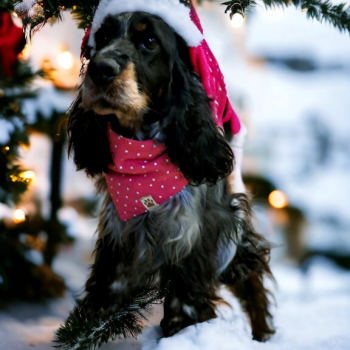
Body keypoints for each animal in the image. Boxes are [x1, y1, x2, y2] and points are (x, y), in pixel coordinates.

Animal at [67, 8, 276, 342]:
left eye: (150, 41)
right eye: (102, 37)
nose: (101, 69)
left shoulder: (198, 231)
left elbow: (186, 293)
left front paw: (182, 331)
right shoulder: (120, 231)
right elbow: (109, 281)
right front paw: (87, 324)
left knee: (251, 277)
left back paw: (262, 334)